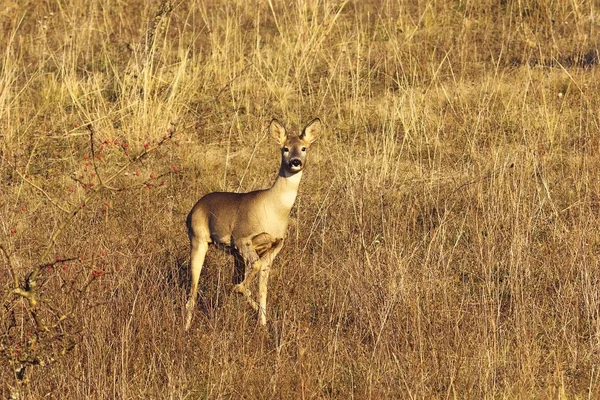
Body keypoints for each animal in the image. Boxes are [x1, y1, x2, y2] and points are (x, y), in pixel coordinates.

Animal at [185, 117, 322, 330]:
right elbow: (253, 271)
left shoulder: (275, 245)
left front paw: (263, 322)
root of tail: (192, 211)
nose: (295, 162)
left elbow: (263, 286)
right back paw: (186, 327)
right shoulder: (242, 238)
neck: (274, 209)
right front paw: (239, 291)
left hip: (232, 254)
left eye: (304, 148)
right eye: (284, 148)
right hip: (198, 239)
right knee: (192, 289)